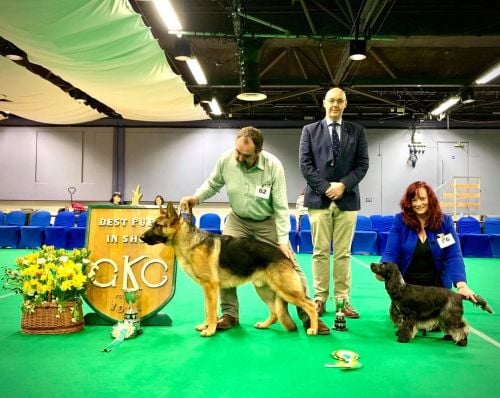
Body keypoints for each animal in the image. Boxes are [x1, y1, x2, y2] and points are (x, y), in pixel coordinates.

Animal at [140, 202, 320, 336]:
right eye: (153, 224)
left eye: (157, 225)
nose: (141, 237)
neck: (190, 241)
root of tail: (283, 255)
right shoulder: (207, 289)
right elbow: (208, 310)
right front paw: (206, 326)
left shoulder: (211, 287)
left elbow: (211, 311)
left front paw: (210, 330)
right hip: (265, 290)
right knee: (275, 312)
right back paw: (264, 325)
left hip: (286, 290)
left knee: (310, 305)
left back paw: (314, 329)